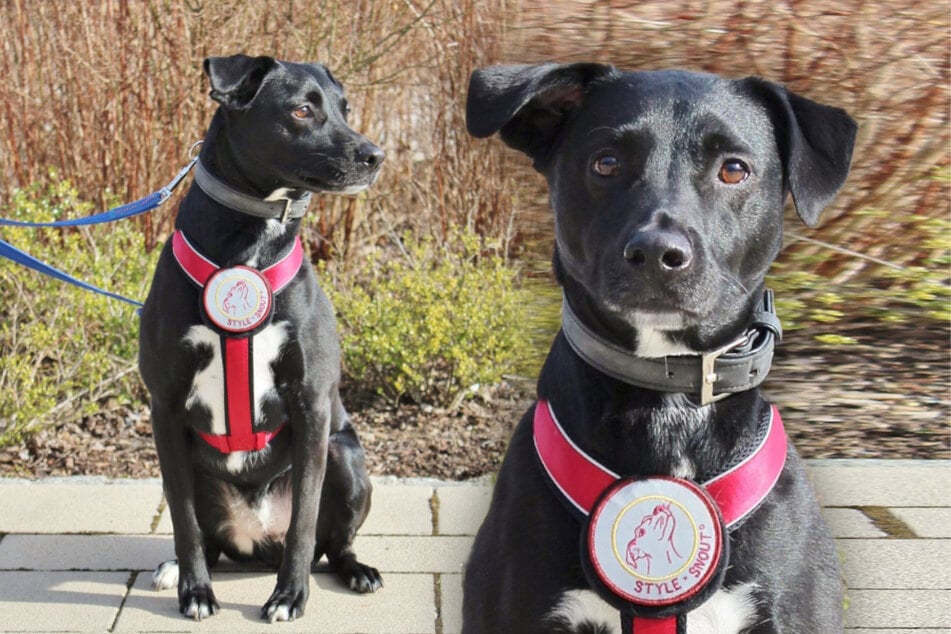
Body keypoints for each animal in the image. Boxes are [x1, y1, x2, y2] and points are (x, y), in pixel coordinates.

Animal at [139, 53, 384, 616]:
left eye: (344, 108)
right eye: (301, 110)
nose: (375, 156)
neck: (248, 245)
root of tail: (254, 539)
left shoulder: (312, 404)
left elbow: (304, 521)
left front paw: (290, 596)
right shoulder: (165, 407)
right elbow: (183, 523)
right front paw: (195, 590)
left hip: (345, 453)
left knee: (331, 541)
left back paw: (355, 569)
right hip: (189, 462)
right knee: (204, 535)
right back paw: (177, 568)